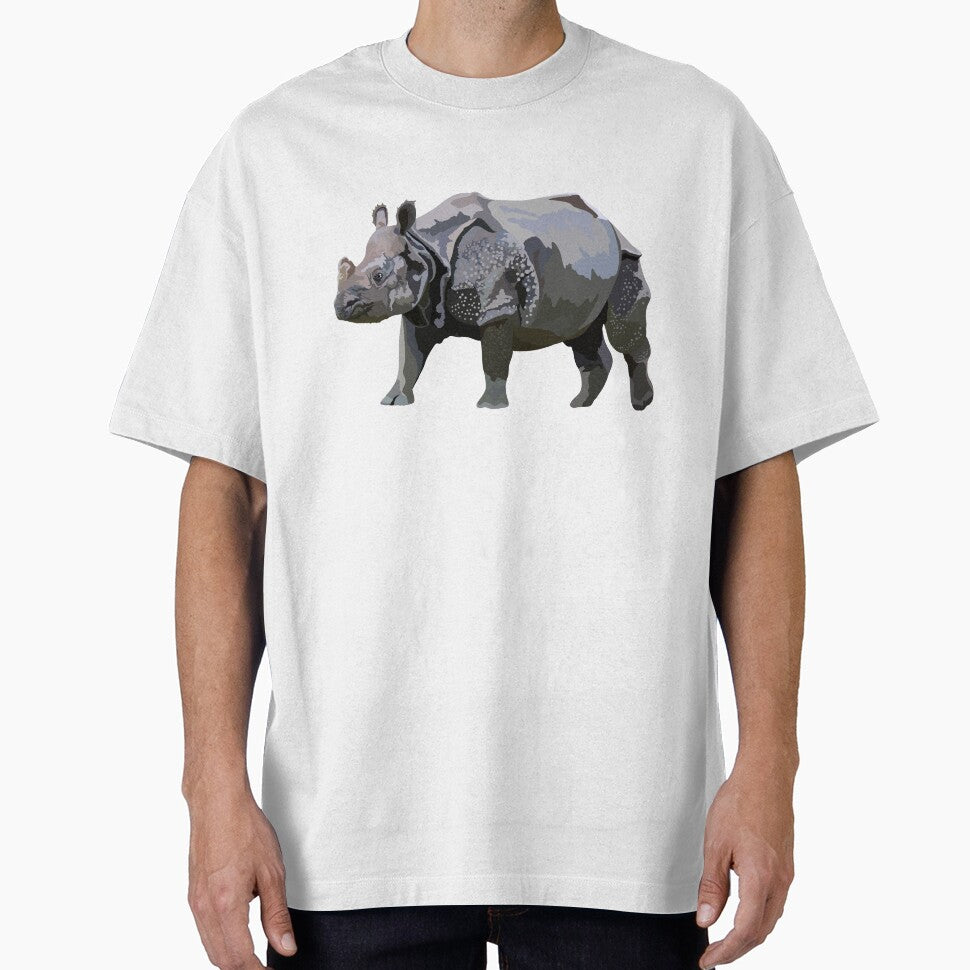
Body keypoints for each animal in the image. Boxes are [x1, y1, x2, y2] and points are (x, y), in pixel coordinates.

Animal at [334, 193, 653, 410]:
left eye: (378, 276)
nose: (340, 307)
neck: (421, 245)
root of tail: (608, 221)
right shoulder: (420, 305)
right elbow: (408, 358)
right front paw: (394, 401)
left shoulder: (496, 307)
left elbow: (493, 360)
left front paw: (489, 406)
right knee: (580, 332)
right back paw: (579, 405)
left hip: (626, 258)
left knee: (621, 332)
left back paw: (640, 404)